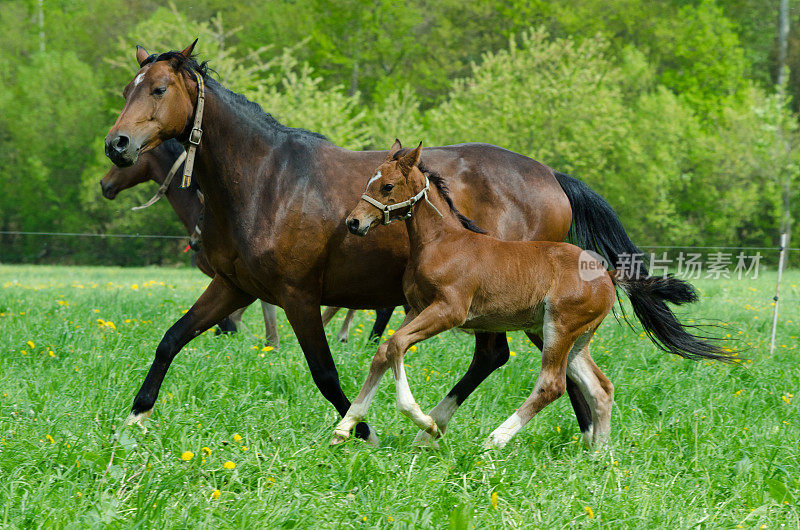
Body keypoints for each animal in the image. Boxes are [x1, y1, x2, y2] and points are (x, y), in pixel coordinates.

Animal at [334, 142, 728, 448]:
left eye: (387, 186)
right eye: (371, 181)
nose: (354, 222)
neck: (442, 242)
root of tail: (607, 273)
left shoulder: (449, 311)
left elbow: (397, 345)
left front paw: (423, 421)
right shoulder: (416, 309)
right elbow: (385, 351)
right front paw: (344, 427)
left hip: (559, 329)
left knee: (551, 385)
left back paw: (496, 439)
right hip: (570, 337)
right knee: (600, 387)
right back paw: (600, 455)